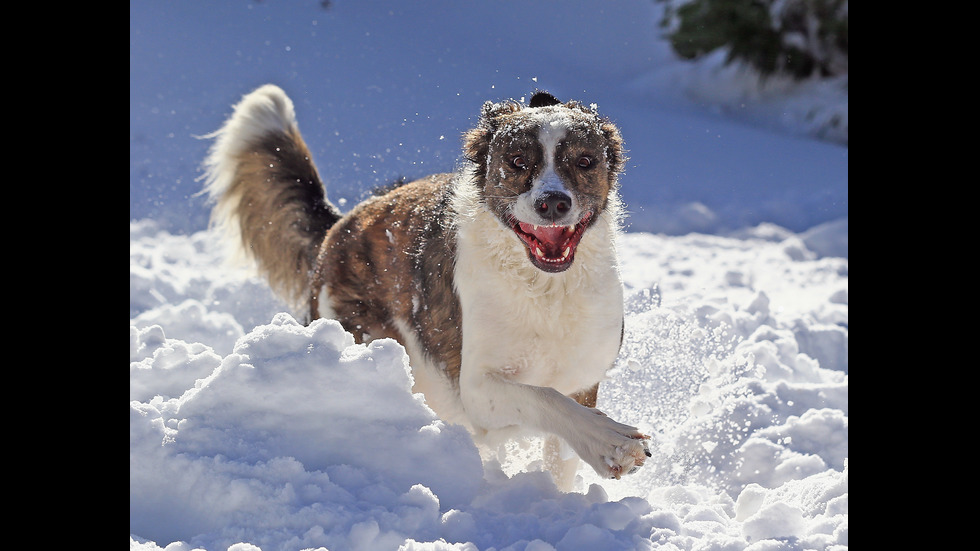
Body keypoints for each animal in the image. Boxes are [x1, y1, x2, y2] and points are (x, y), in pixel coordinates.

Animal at [202, 84, 648, 490]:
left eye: (585, 161)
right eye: (518, 161)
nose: (553, 202)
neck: (544, 288)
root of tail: (340, 226)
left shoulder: (583, 377)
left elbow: (562, 446)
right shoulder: (477, 390)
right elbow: (544, 399)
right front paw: (612, 442)